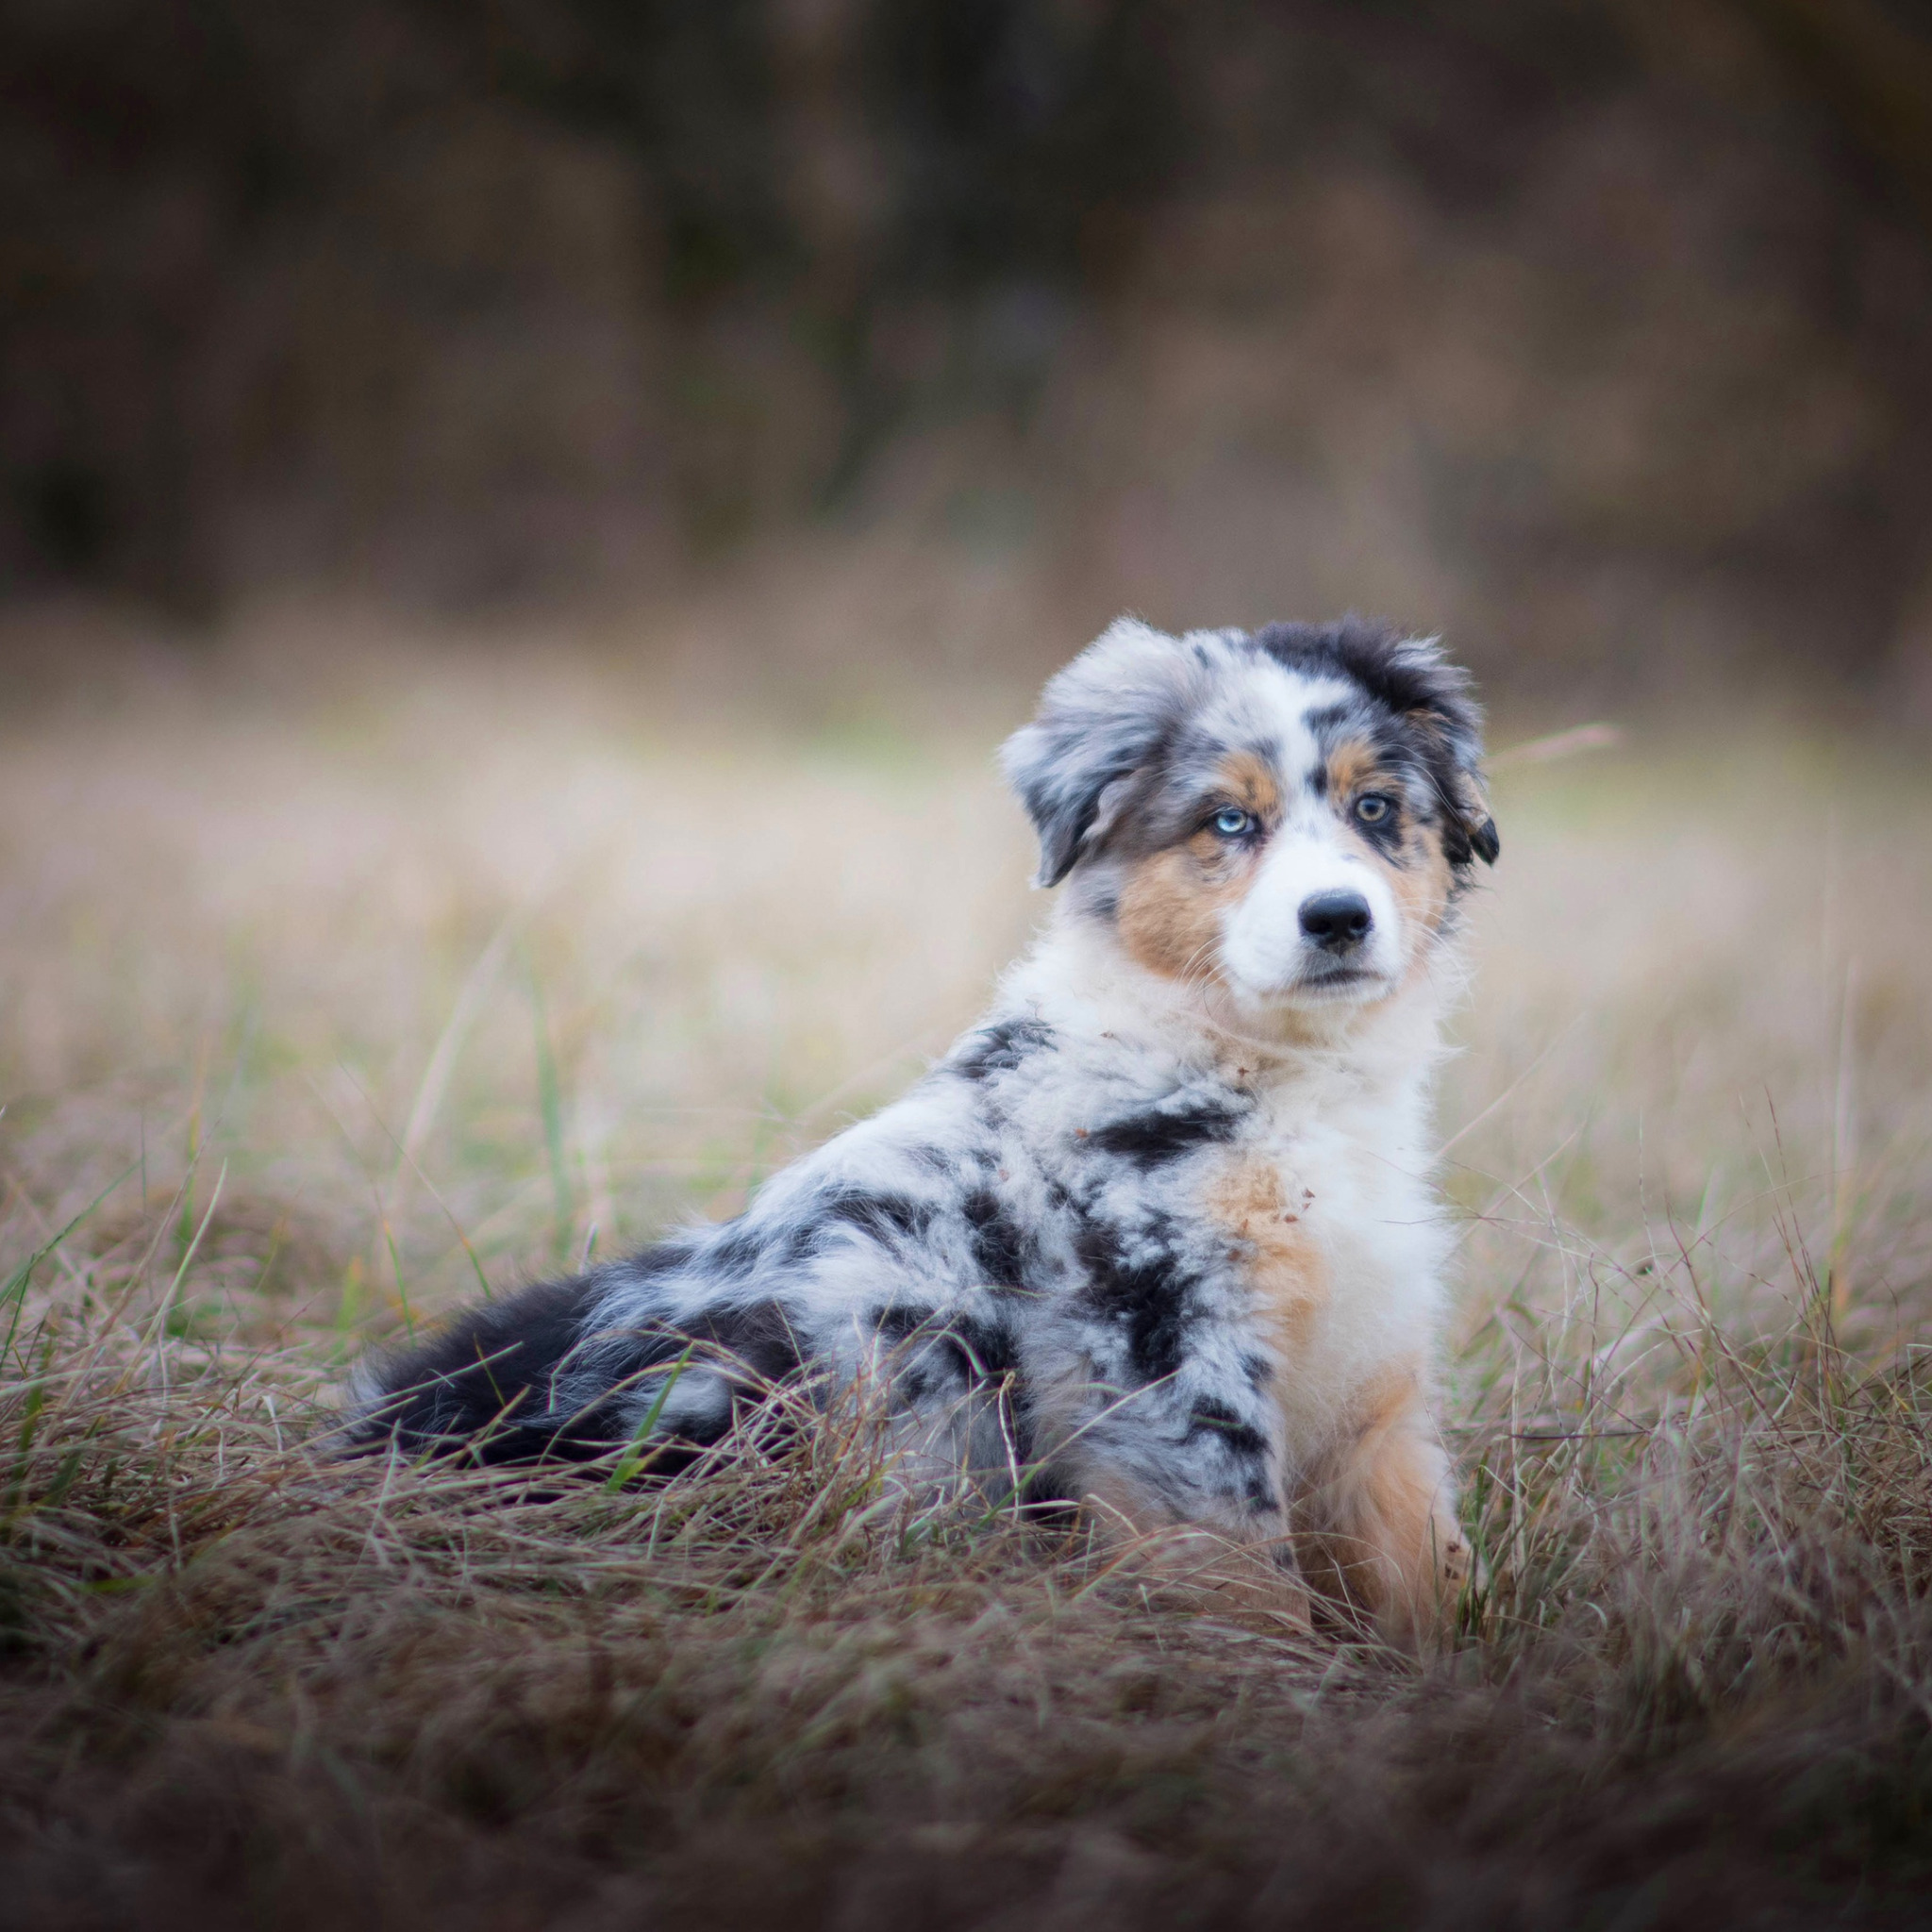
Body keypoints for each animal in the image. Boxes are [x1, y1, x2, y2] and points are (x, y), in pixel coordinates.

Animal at [351, 614, 1491, 1645]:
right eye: (1225, 822)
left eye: (1376, 807)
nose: (1337, 917)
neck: (1274, 1071)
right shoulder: (1161, 1355)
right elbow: (1235, 1575)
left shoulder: (1375, 1388)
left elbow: (1420, 1567)